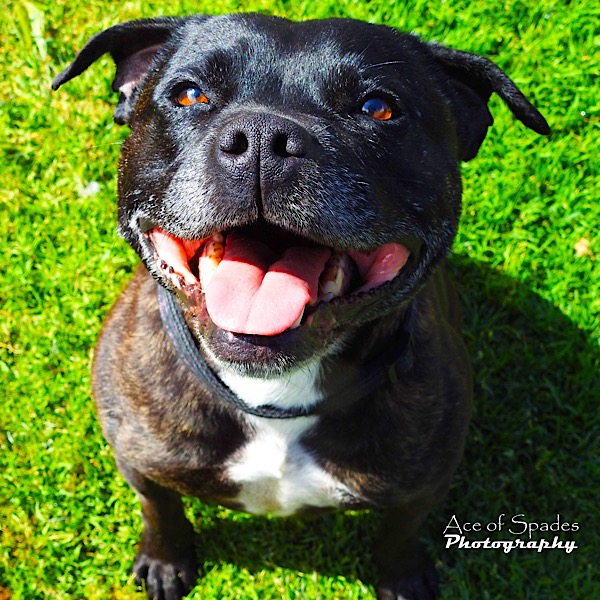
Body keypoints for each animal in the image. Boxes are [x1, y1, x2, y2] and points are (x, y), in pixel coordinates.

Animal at [53, 13, 549, 600]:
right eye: (189, 94)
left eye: (378, 108)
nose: (264, 138)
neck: (272, 396)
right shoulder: (138, 458)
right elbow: (160, 509)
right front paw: (164, 561)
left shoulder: (422, 485)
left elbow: (399, 534)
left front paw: (402, 579)